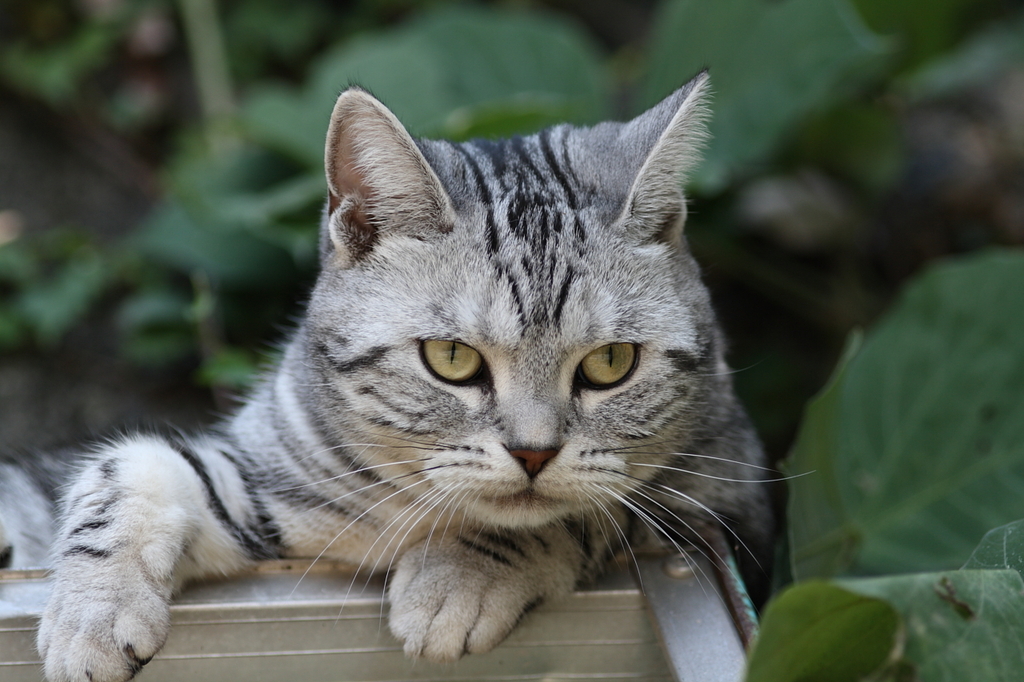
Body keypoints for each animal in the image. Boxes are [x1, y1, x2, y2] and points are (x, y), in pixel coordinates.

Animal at [0, 70, 774, 679]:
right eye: (452, 358)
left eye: (610, 364)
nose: (533, 454)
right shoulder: (265, 493)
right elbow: (133, 467)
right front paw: (93, 615)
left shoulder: (725, 509)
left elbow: (592, 511)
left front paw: (464, 574)